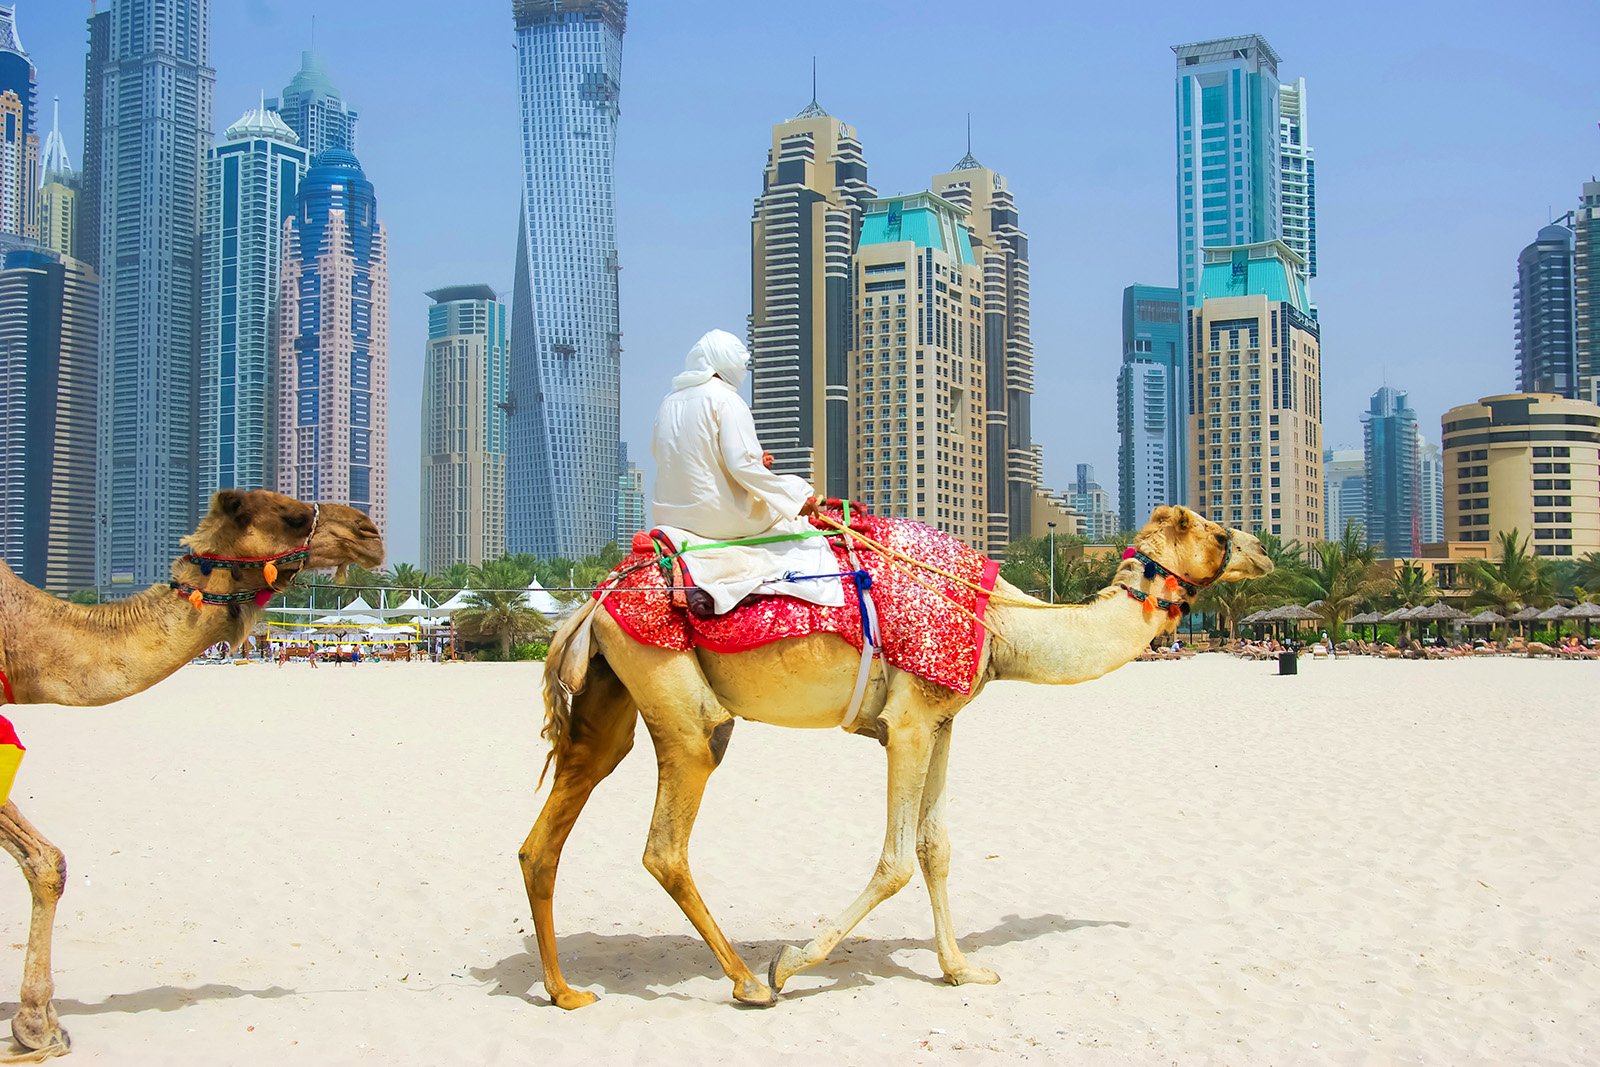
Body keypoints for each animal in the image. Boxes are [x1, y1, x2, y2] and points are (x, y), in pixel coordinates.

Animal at [0, 489, 383, 1058]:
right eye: (293, 517)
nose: (370, 533)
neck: (24, 638)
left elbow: (48, 861)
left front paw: (36, 1022)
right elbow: (46, 861)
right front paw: (37, 1026)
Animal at [521, 505, 1272, 1010]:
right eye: (1218, 533)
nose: (1264, 551)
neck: (1001, 623)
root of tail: (592, 601)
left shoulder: (942, 721)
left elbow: (937, 848)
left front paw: (963, 969)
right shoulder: (907, 724)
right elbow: (897, 861)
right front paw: (792, 961)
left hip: (612, 696)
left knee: (548, 833)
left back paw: (564, 991)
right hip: (676, 698)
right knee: (666, 842)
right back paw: (748, 980)